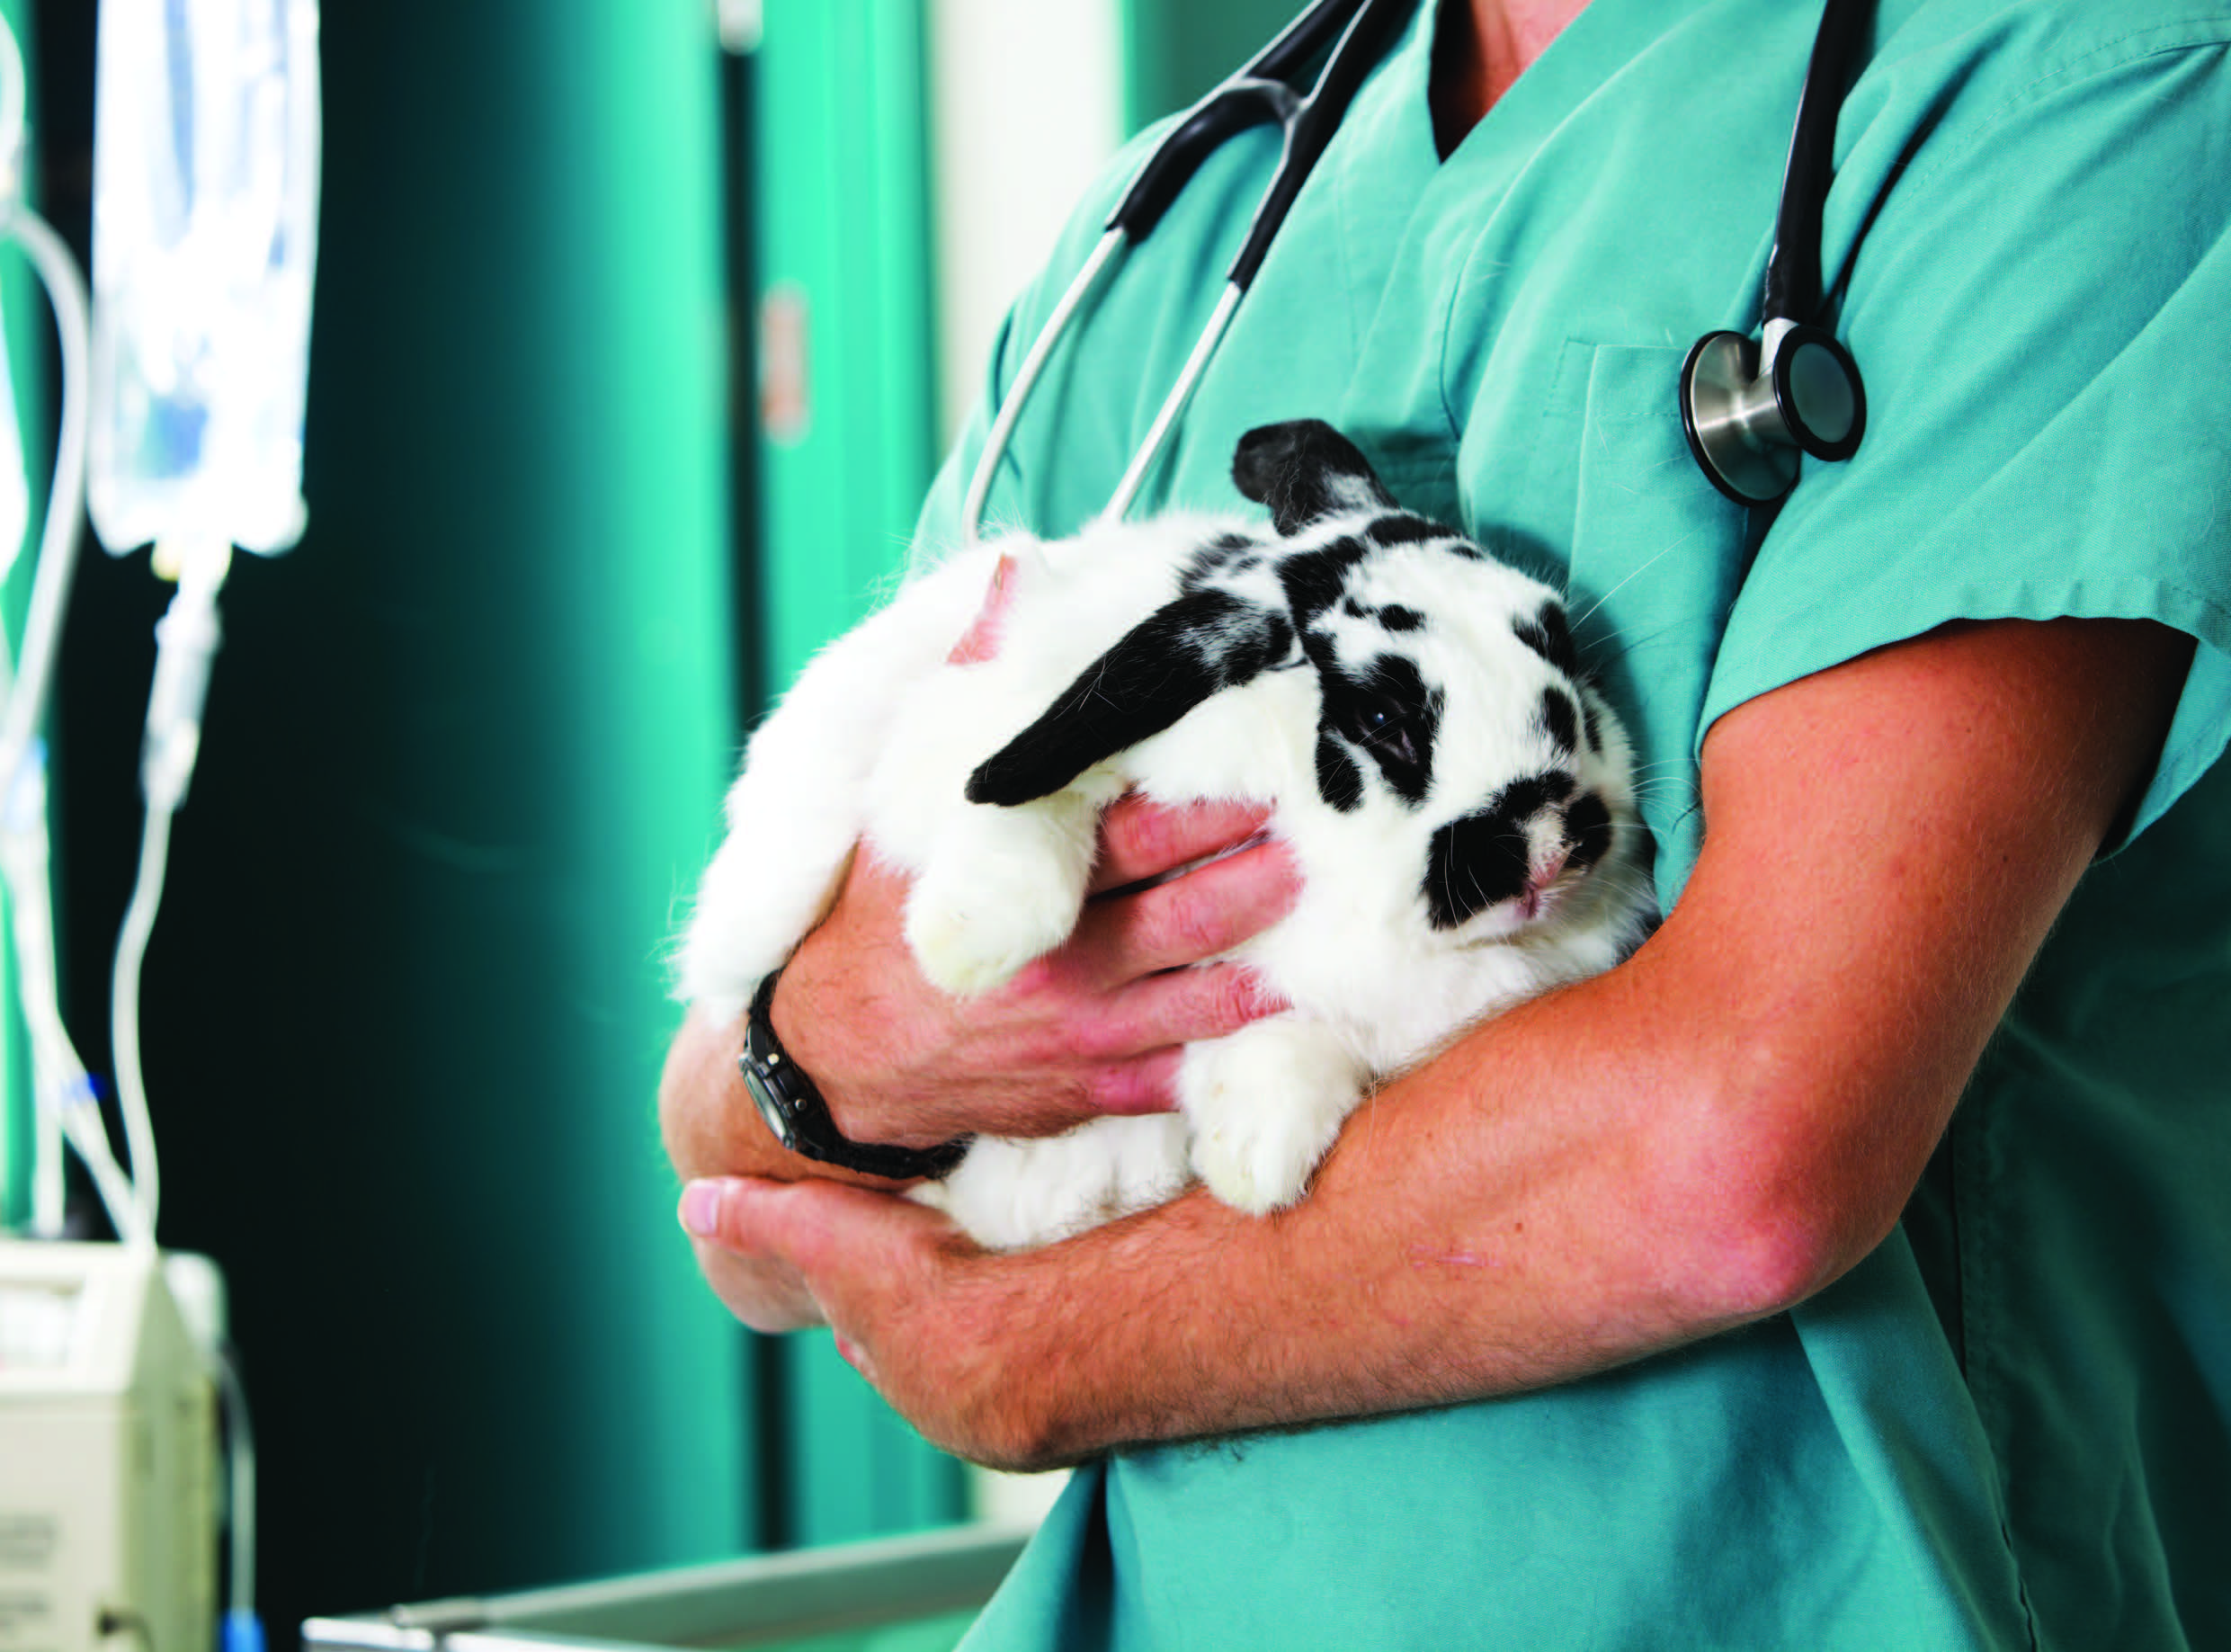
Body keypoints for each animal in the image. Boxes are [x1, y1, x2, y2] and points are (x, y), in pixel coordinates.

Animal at [679, 419, 1657, 1250]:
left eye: (1561, 646)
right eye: (1382, 717)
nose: (1545, 845)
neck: (1336, 873)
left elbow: (1283, 1037)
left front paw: (1256, 1157)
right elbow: (1027, 800)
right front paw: (972, 943)